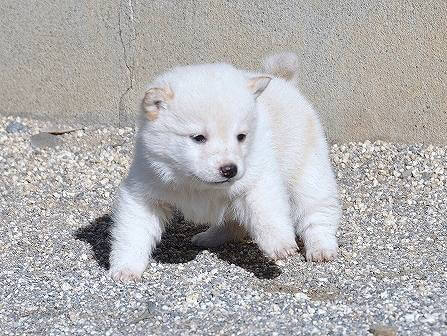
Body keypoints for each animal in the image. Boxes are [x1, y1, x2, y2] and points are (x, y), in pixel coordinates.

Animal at [110, 51, 342, 280]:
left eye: (241, 136)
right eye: (198, 138)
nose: (230, 169)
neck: (199, 185)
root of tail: (283, 81)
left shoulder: (257, 179)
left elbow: (266, 212)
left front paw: (280, 244)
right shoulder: (146, 187)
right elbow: (133, 230)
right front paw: (126, 268)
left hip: (308, 171)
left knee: (316, 210)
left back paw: (321, 247)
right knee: (233, 223)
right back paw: (210, 237)